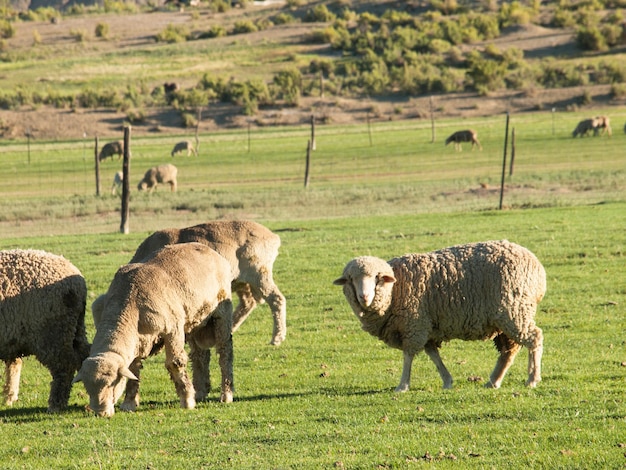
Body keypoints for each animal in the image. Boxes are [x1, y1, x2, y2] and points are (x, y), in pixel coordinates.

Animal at [73, 241, 234, 416]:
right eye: (86, 387)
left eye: (113, 383)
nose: (100, 412)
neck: (128, 303)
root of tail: (208, 249)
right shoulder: (137, 339)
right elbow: (133, 368)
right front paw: (129, 403)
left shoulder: (173, 329)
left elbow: (175, 363)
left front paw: (187, 401)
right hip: (194, 319)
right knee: (199, 355)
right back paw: (200, 392)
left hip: (222, 312)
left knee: (225, 352)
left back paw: (226, 394)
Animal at [334, 241, 544, 392]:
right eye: (351, 279)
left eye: (377, 277)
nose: (364, 296)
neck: (396, 288)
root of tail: (538, 267)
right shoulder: (426, 326)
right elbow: (433, 354)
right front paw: (447, 381)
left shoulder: (414, 324)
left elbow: (408, 355)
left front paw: (402, 385)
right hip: (504, 318)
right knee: (508, 351)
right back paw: (493, 382)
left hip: (514, 311)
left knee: (534, 338)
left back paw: (532, 379)